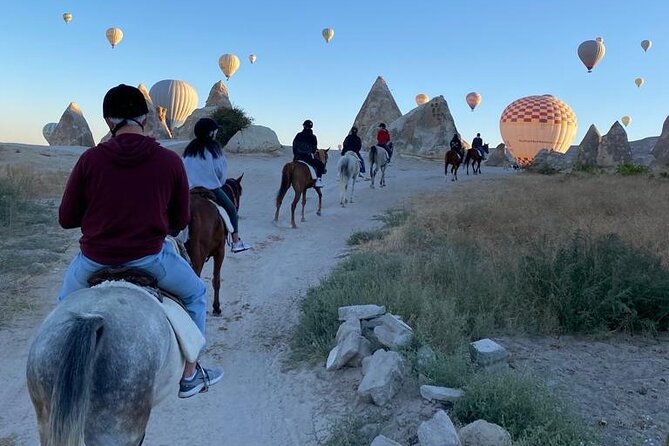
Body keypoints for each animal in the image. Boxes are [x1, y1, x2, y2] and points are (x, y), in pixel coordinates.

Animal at [185, 174, 243, 314]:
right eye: (239, 192)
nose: (237, 207)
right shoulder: (220, 251)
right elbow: (216, 280)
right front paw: (217, 307)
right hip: (198, 256)